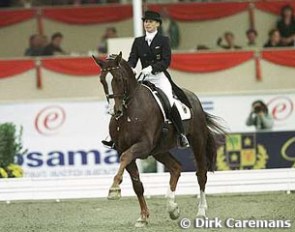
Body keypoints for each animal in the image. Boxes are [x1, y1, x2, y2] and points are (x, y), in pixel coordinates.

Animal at [93, 52, 225, 227]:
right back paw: (172, 208)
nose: (114, 111)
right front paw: (143, 217)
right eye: (102, 80)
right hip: (159, 151)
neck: (130, 112)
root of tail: (194, 98)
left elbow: (125, 158)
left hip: (197, 140)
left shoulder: (142, 145)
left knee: (201, 174)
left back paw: (201, 213)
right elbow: (137, 185)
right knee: (176, 168)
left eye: (119, 79)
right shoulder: (124, 148)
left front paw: (114, 189)